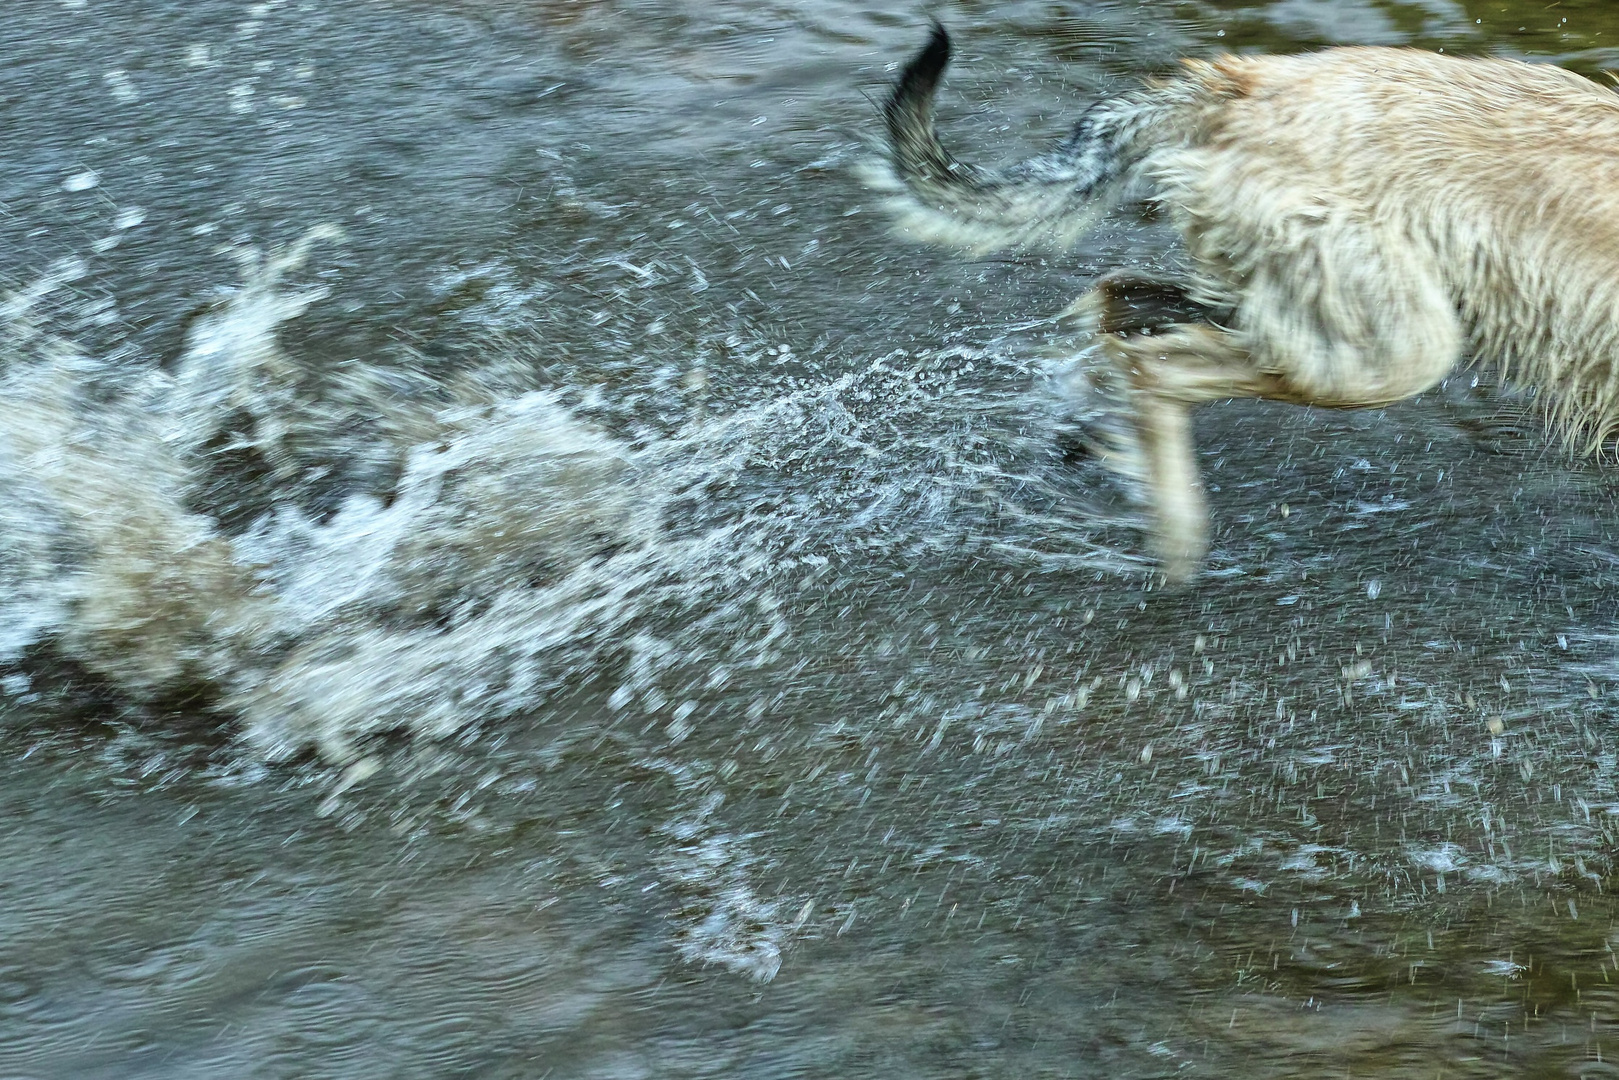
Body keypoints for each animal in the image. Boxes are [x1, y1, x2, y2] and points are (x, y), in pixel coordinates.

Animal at [874, 25, 1619, 582]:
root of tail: (1241, 86)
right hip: (1395, 346)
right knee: (1152, 364)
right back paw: (1174, 530)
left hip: (1303, 304)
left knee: (1118, 304)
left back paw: (1097, 428)